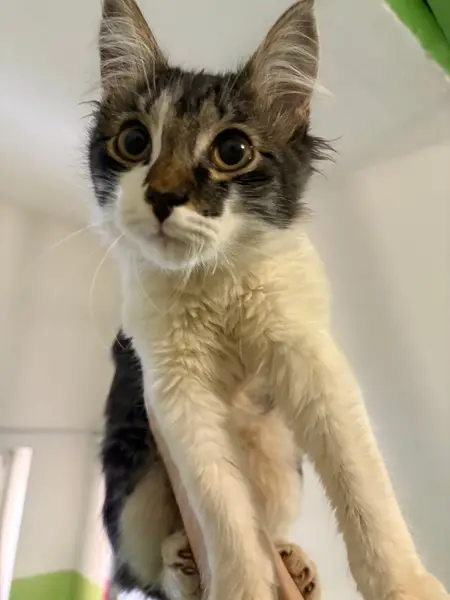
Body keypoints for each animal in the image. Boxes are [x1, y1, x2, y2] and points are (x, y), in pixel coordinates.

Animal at [88, 1, 449, 600]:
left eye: (232, 151)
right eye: (135, 143)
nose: (162, 195)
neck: (215, 277)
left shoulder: (311, 358)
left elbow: (364, 485)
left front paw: (406, 584)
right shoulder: (173, 391)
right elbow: (223, 509)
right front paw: (243, 587)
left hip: (279, 458)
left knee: (271, 519)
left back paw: (294, 563)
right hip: (133, 475)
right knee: (147, 568)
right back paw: (184, 562)